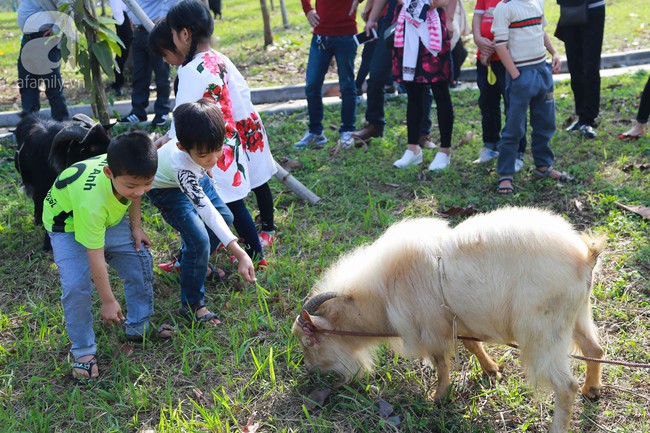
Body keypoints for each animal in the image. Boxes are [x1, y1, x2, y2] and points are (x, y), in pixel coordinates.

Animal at [292, 206, 604, 432]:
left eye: (310, 342)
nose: (312, 372)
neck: (383, 292)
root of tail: (585, 257)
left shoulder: (432, 330)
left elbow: (441, 364)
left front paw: (437, 397)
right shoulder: (458, 322)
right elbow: (473, 346)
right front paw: (492, 371)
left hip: (541, 334)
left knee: (565, 387)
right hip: (577, 317)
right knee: (595, 350)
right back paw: (592, 390)